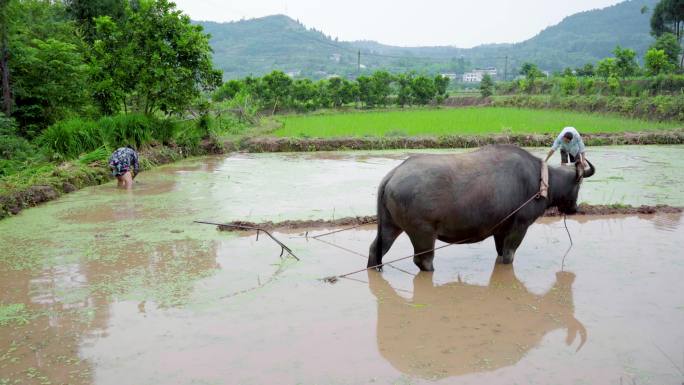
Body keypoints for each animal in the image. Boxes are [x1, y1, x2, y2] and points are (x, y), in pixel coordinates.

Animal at [366, 145, 596, 270]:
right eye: (579, 185)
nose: (574, 209)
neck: (541, 181)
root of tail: (393, 174)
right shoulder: (519, 226)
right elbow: (509, 255)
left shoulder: (501, 230)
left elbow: (500, 252)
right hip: (422, 233)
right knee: (423, 260)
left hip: (390, 226)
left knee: (376, 249)